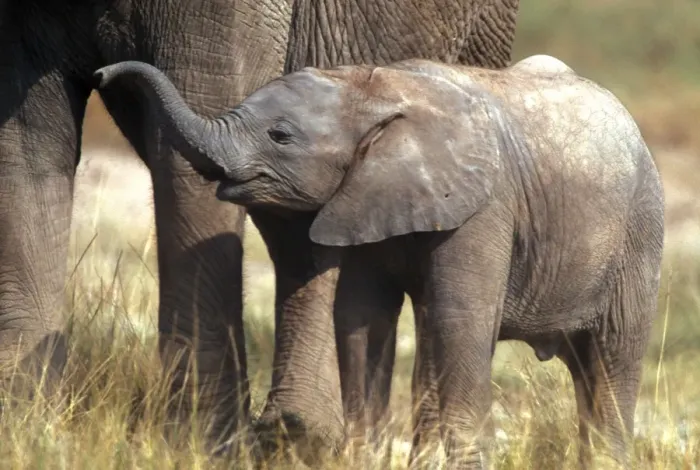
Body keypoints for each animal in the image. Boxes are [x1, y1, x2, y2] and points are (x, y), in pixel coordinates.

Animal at [0, 0, 520, 456]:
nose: (105, 73)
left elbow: (188, 139)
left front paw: (200, 447)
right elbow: (24, 146)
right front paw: (28, 430)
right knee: (295, 226)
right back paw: (295, 435)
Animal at [92, 54, 665, 468]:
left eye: (281, 136)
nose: (101, 73)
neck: (372, 87)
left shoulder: (486, 206)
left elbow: (461, 320)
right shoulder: (360, 196)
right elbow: (361, 318)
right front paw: (361, 457)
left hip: (639, 233)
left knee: (613, 354)